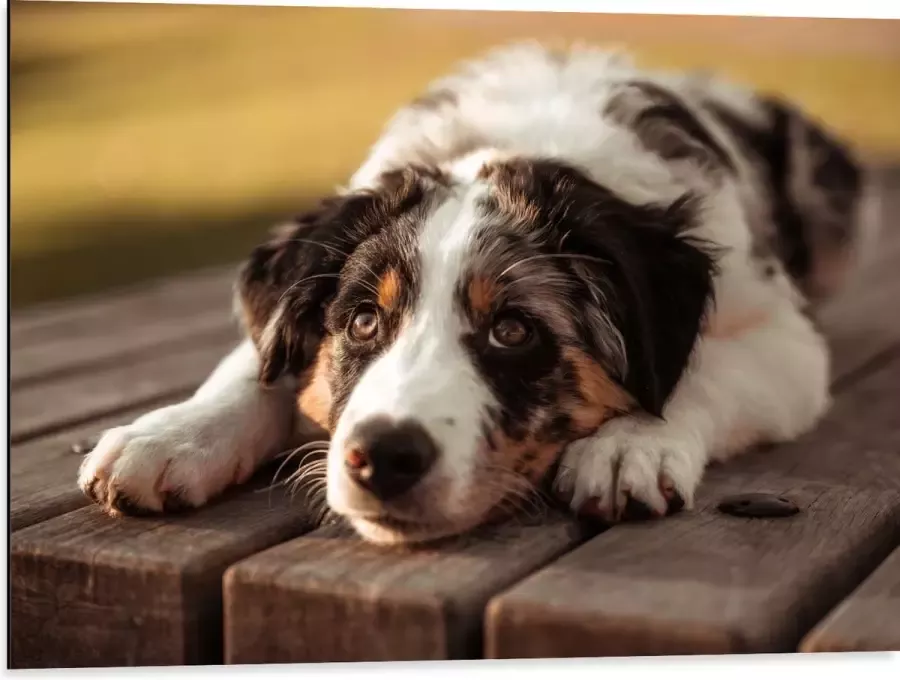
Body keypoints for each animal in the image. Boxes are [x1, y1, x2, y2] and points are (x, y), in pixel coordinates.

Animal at [77, 42, 872, 544]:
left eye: (513, 330)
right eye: (362, 322)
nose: (383, 458)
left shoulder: (785, 339)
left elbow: (700, 370)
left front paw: (630, 446)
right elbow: (255, 364)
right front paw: (169, 436)